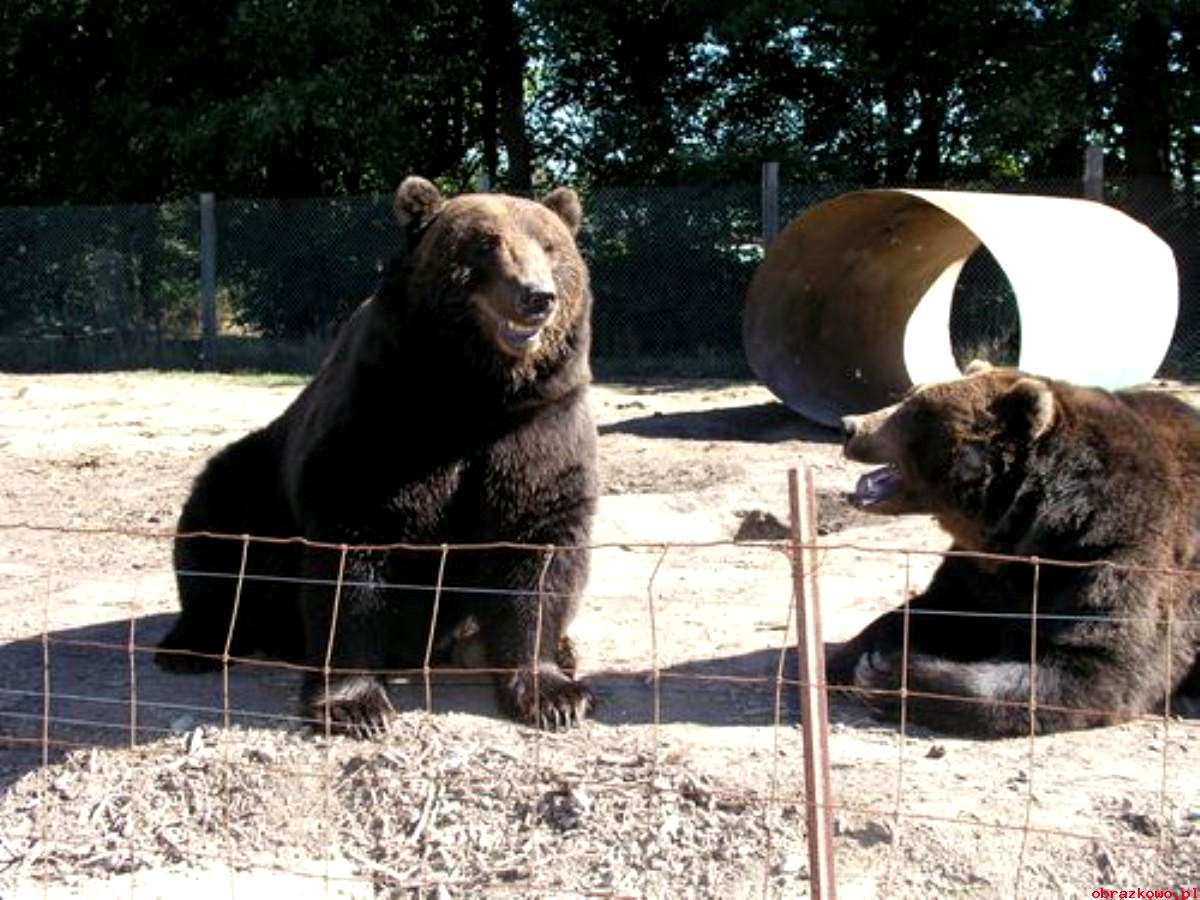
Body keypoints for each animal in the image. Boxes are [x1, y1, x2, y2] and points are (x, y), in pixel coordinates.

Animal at [825, 362, 1200, 734]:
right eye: (909, 395)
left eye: (916, 411)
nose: (849, 426)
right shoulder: (983, 568)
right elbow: (934, 609)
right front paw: (846, 658)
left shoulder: (1117, 551)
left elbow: (1096, 665)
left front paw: (887, 675)